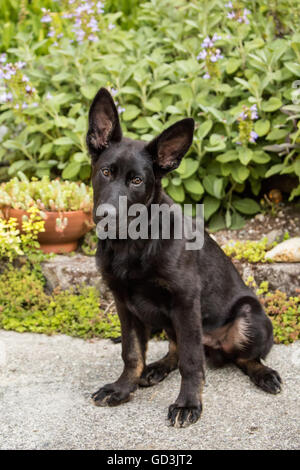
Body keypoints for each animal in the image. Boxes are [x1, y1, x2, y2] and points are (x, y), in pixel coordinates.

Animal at [86, 89, 282, 430]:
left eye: (137, 181)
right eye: (106, 172)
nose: (106, 217)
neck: (133, 243)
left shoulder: (186, 301)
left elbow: (192, 362)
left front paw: (188, 403)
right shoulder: (124, 303)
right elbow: (132, 352)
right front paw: (123, 388)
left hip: (248, 317)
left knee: (244, 358)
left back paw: (264, 374)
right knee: (176, 349)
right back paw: (157, 368)